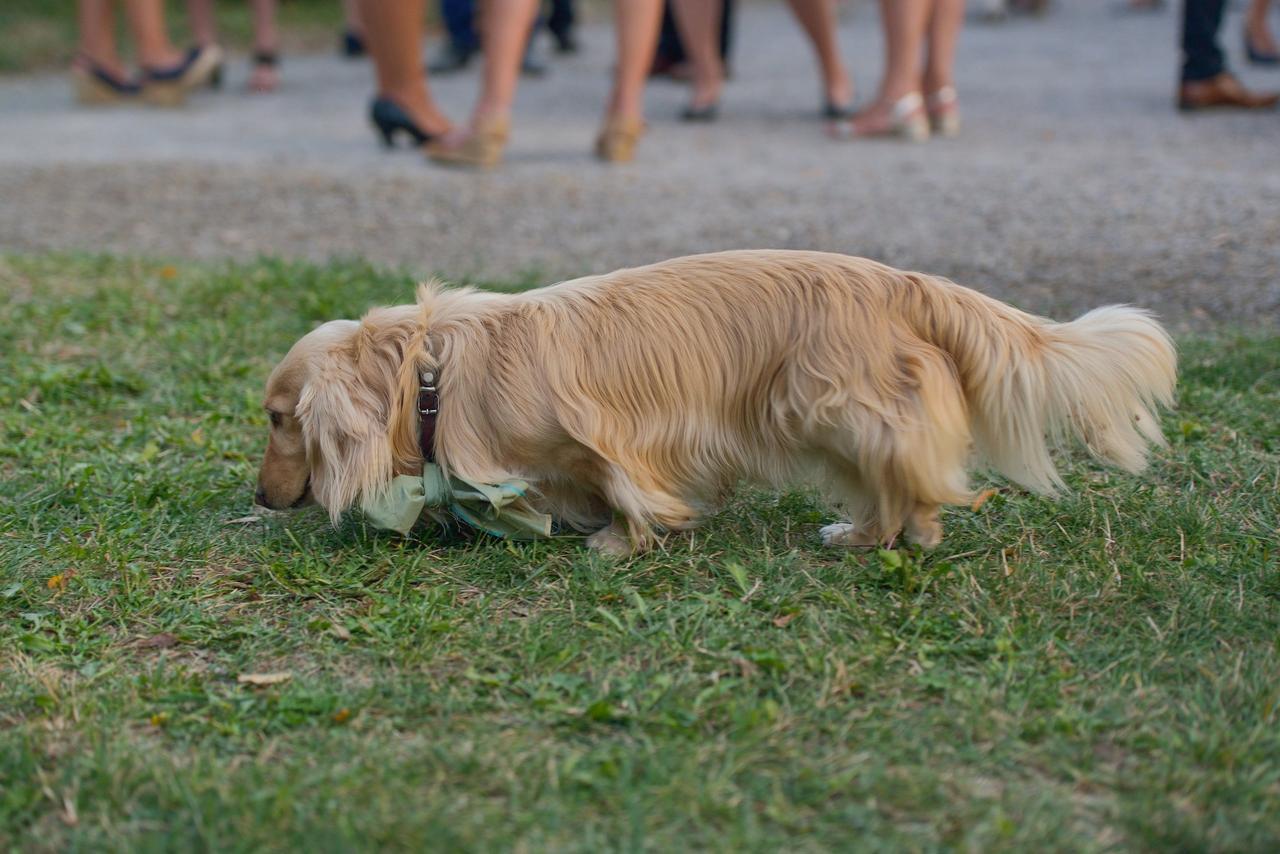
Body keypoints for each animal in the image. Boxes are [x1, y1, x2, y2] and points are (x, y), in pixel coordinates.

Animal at [252, 248, 1177, 555]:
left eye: (276, 420)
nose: (257, 496)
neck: (430, 370)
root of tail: (903, 283)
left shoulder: (608, 433)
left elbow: (620, 481)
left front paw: (620, 541)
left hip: (835, 407)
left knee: (907, 482)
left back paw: (884, 536)